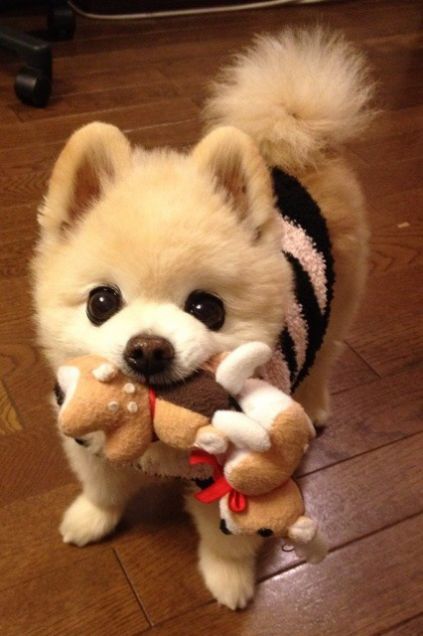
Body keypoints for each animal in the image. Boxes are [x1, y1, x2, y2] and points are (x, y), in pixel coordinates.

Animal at [30, 27, 374, 608]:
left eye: (206, 308)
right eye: (101, 302)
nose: (147, 348)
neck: (152, 433)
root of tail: (301, 141)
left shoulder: (235, 473)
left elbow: (228, 537)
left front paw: (228, 581)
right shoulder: (89, 441)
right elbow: (102, 486)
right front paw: (91, 519)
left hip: (339, 300)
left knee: (325, 357)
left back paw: (315, 405)